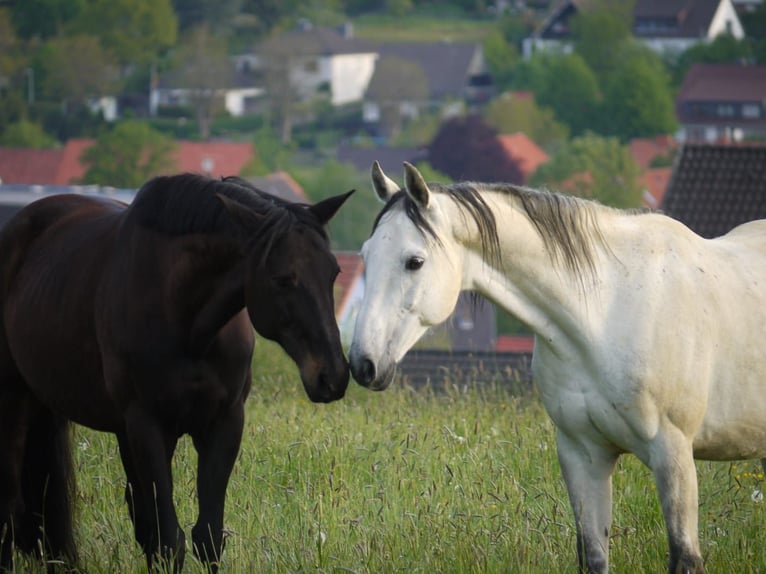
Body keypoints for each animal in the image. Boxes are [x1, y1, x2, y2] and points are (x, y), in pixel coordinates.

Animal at [0, 173, 354, 572]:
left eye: (333, 273)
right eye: (282, 278)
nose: (333, 376)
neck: (187, 323)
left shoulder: (223, 424)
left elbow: (206, 537)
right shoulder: (148, 426)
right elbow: (170, 540)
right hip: (14, 399)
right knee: (10, 504)